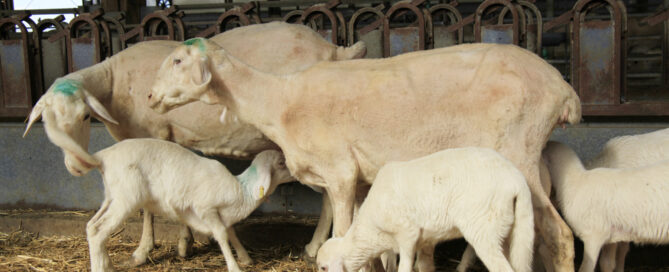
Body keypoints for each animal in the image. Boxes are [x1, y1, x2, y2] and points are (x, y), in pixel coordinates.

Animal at [81, 140, 292, 272]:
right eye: (282, 163)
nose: (296, 171)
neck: (241, 189)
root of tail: (103, 157)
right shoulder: (206, 209)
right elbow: (222, 235)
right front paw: (235, 267)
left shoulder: (223, 215)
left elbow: (232, 232)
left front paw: (246, 258)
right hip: (127, 197)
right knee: (99, 230)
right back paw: (100, 268)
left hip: (111, 196)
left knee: (91, 225)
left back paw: (107, 265)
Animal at [316, 148, 536, 272]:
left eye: (324, 267)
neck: (371, 231)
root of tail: (517, 182)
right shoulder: (425, 241)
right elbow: (425, 267)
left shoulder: (407, 235)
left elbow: (404, 267)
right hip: (512, 231)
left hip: (484, 228)